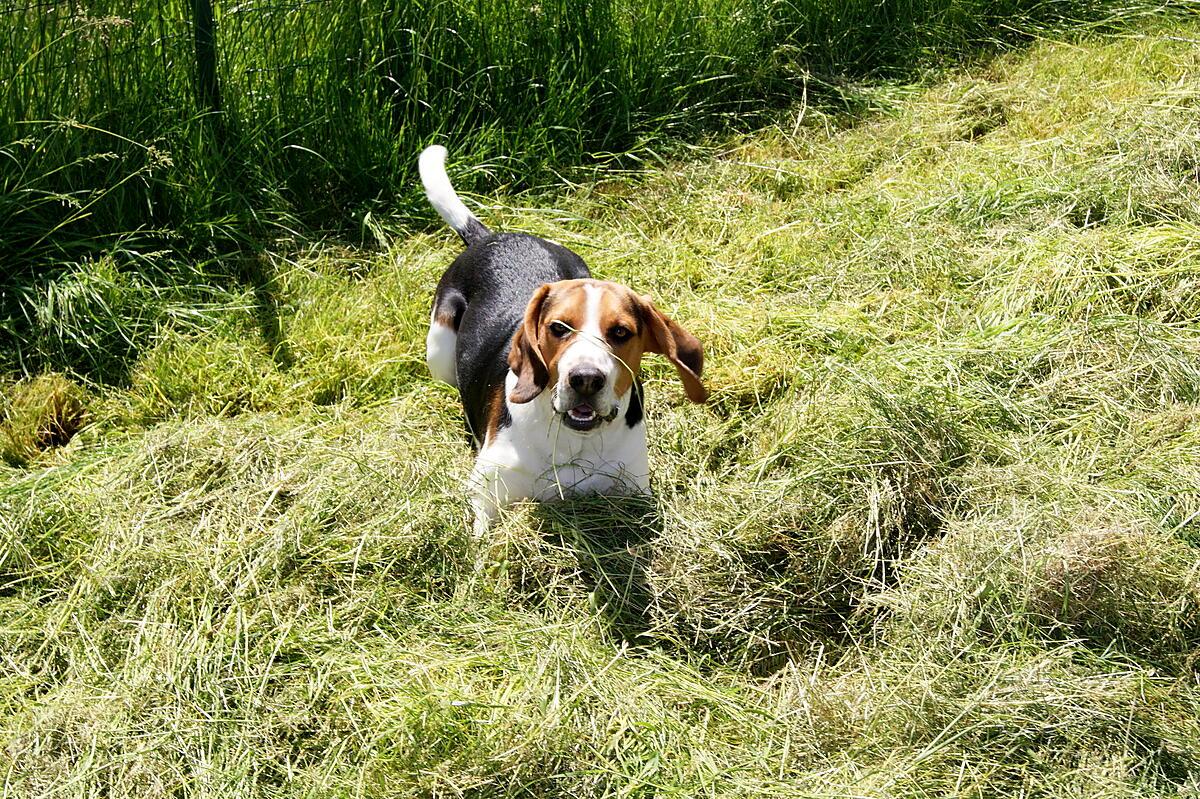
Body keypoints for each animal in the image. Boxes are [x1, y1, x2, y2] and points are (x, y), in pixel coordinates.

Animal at [420, 144, 705, 527]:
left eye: (621, 332)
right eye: (558, 328)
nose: (585, 379)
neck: (572, 443)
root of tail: (492, 236)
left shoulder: (634, 489)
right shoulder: (485, 498)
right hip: (438, 352)